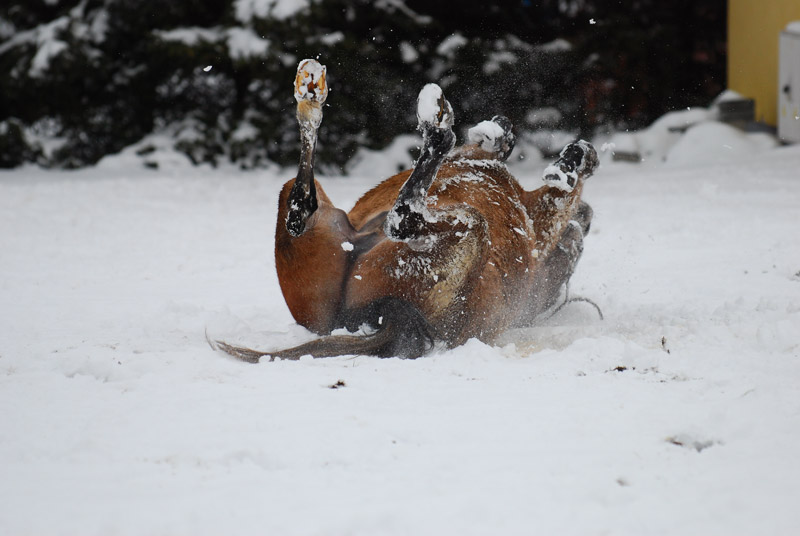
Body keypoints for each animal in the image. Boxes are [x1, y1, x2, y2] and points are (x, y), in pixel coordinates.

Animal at [216, 57, 596, 360]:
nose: (503, 119)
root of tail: (382, 320)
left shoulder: (538, 223)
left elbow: (560, 195)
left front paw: (573, 161)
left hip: (467, 226)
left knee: (395, 218)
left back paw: (434, 129)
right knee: (301, 206)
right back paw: (313, 93)